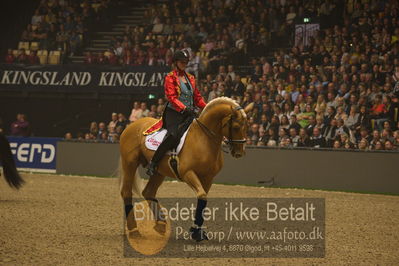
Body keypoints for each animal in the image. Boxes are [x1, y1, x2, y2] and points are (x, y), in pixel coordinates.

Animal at [119, 97, 250, 241]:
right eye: (236, 127)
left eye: (247, 126)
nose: (239, 152)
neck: (204, 138)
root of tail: (132, 125)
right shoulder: (188, 173)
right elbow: (202, 195)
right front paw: (196, 231)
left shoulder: (208, 178)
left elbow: (202, 198)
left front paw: (197, 231)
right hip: (130, 163)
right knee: (126, 192)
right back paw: (134, 230)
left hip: (159, 171)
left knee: (148, 192)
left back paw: (161, 225)